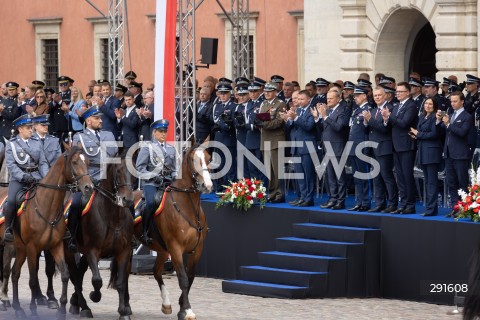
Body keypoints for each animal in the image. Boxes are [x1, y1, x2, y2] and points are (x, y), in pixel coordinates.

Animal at [10, 146, 94, 320]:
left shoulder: (56, 246)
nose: (89, 187)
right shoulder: (32, 248)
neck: (46, 206)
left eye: (88, 162)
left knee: (14, 273)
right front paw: (34, 310)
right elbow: (33, 280)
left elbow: (65, 275)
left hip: (20, 249)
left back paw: (18, 308)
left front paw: (62, 309)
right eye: (74, 162)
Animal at [66, 156, 135, 318]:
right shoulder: (92, 250)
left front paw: (123, 311)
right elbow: (97, 280)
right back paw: (84, 307)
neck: (114, 216)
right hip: (69, 250)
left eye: (134, 172)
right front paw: (94, 296)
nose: (128, 200)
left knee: (79, 273)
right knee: (74, 275)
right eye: (118, 171)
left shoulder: (124, 251)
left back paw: (75, 302)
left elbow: (121, 282)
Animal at [132, 142, 213, 320]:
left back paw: (166, 304)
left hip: (162, 250)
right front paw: (187, 310)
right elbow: (183, 278)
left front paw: (181, 307)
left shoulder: (197, 249)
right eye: (193, 160)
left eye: (208, 159)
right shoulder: (176, 248)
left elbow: (190, 277)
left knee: (156, 271)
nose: (207, 185)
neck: (188, 207)